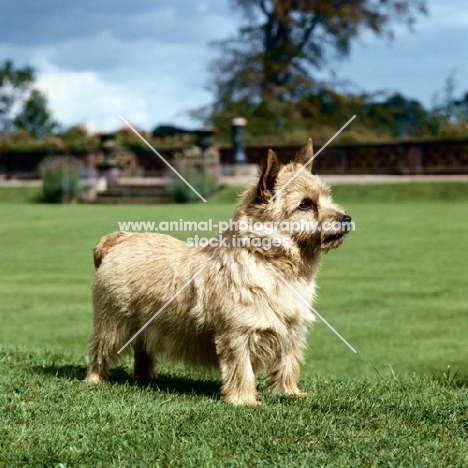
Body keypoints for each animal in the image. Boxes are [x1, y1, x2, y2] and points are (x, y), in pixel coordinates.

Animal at [86, 139, 352, 406]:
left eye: (327, 197)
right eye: (305, 204)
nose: (347, 218)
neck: (272, 264)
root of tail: (120, 239)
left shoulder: (291, 329)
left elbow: (288, 362)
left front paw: (289, 392)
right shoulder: (238, 332)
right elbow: (241, 368)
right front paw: (245, 401)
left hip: (147, 325)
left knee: (143, 350)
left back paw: (146, 377)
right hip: (115, 322)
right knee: (99, 347)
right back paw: (95, 379)